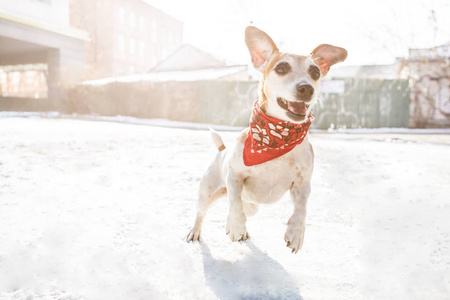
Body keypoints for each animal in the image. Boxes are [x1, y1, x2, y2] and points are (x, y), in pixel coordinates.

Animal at [186, 26, 348, 253]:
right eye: (282, 68)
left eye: (315, 72)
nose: (307, 87)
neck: (276, 138)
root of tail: (222, 150)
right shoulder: (234, 175)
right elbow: (234, 201)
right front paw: (236, 225)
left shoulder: (302, 184)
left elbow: (301, 208)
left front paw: (296, 232)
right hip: (207, 192)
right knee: (204, 211)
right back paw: (198, 231)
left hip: (252, 206)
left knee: (244, 208)